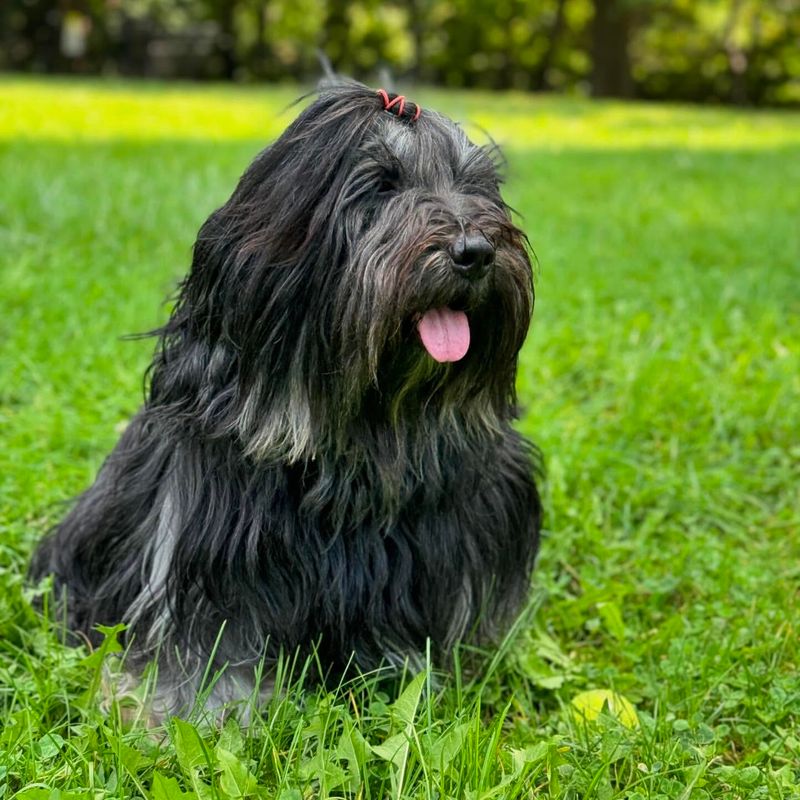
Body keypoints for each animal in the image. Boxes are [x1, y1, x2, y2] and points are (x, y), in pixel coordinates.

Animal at [31, 81, 544, 720]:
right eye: (381, 186)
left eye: (476, 186)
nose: (474, 250)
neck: (358, 435)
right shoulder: (204, 542)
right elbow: (205, 644)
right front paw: (189, 714)